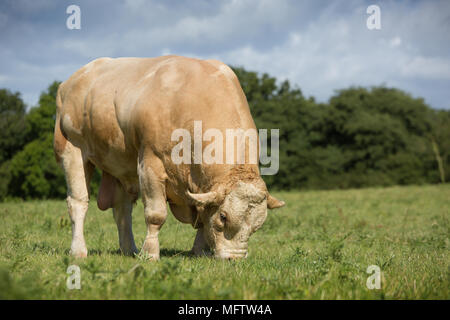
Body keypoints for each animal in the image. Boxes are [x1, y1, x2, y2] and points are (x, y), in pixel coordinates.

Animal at [53, 55, 284, 260]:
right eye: (223, 217)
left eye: (257, 226)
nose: (234, 259)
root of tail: (71, 81)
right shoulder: (150, 164)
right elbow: (156, 215)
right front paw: (150, 254)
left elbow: (203, 218)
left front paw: (200, 251)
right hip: (72, 148)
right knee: (78, 202)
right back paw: (78, 250)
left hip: (120, 164)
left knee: (122, 209)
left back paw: (129, 249)